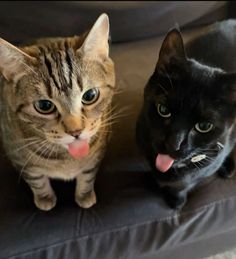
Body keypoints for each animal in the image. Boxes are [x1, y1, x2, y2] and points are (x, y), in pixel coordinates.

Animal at [0, 13, 115, 211]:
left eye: (90, 95)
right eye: (44, 106)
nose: (76, 131)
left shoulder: (96, 155)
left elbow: (87, 175)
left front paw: (84, 195)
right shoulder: (19, 157)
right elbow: (37, 180)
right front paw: (45, 198)